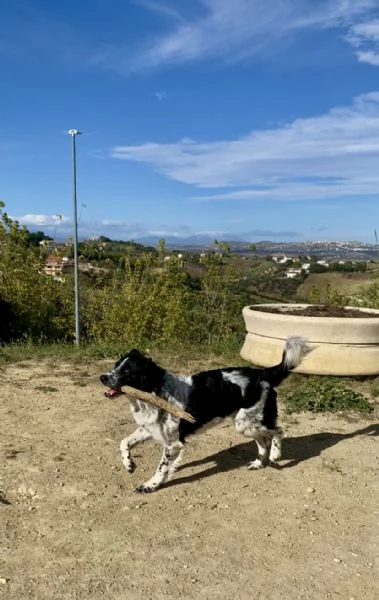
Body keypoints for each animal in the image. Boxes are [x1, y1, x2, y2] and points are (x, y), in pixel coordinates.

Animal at [100, 338, 312, 492]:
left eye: (127, 371)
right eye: (115, 365)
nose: (102, 377)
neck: (155, 391)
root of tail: (262, 374)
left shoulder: (173, 443)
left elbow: (161, 467)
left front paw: (151, 485)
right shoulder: (150, 430)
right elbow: (124, 442)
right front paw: (129, 464)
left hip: (248, 423)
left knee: (277, 431)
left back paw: (275, 454)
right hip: (245, 425)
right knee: (262, 442)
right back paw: (258, 463)